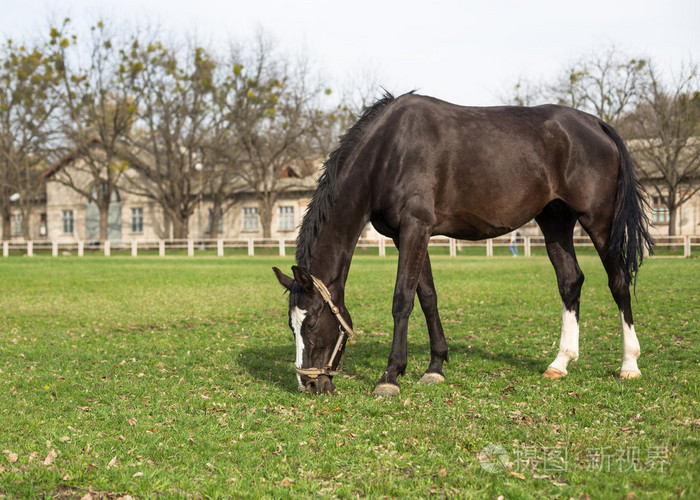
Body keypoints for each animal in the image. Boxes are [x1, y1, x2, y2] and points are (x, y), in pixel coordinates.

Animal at [272, 92, 652, 396]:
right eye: (290, 325)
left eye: (310, 324)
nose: (308, 383)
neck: (390, 152)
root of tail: (596, 123)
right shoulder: (407, 234)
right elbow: (427, 297)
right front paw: (435, 367)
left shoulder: (415, 228)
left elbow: (402, 299)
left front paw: (391, 375)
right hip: (555, 221)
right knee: (570, 281)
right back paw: (560, 362)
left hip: (599, 221)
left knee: (618, 282)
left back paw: (629, 365)